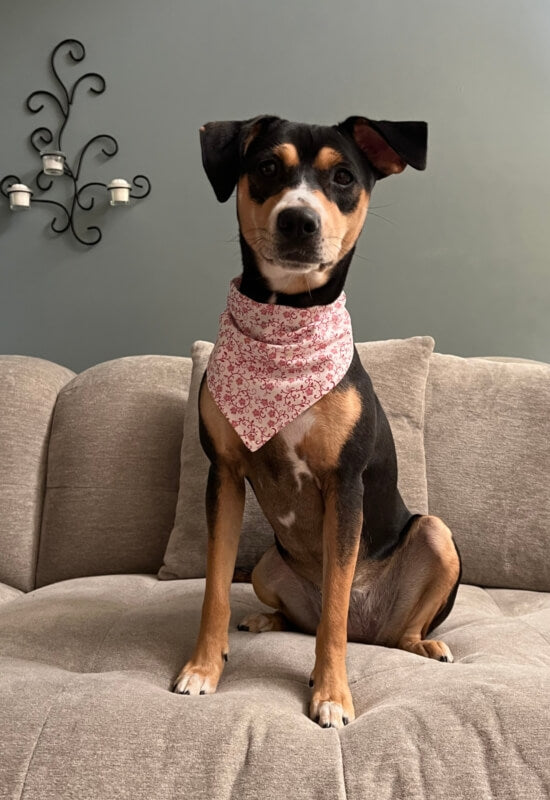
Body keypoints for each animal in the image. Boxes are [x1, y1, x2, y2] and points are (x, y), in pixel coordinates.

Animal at [174, 114, 466, 732]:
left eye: (343, 177)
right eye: (266, 167)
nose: (298, 220)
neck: (289, 318)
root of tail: (372, 627)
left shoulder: (344, 485)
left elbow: (334, 609)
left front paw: (332, 695)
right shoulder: (224, 475)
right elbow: (214, 588)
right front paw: (203, 668)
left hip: (434, 533)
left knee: (393, 627)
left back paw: (426, 645)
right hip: (266, 565)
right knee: (298, 616)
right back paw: (265, 621)